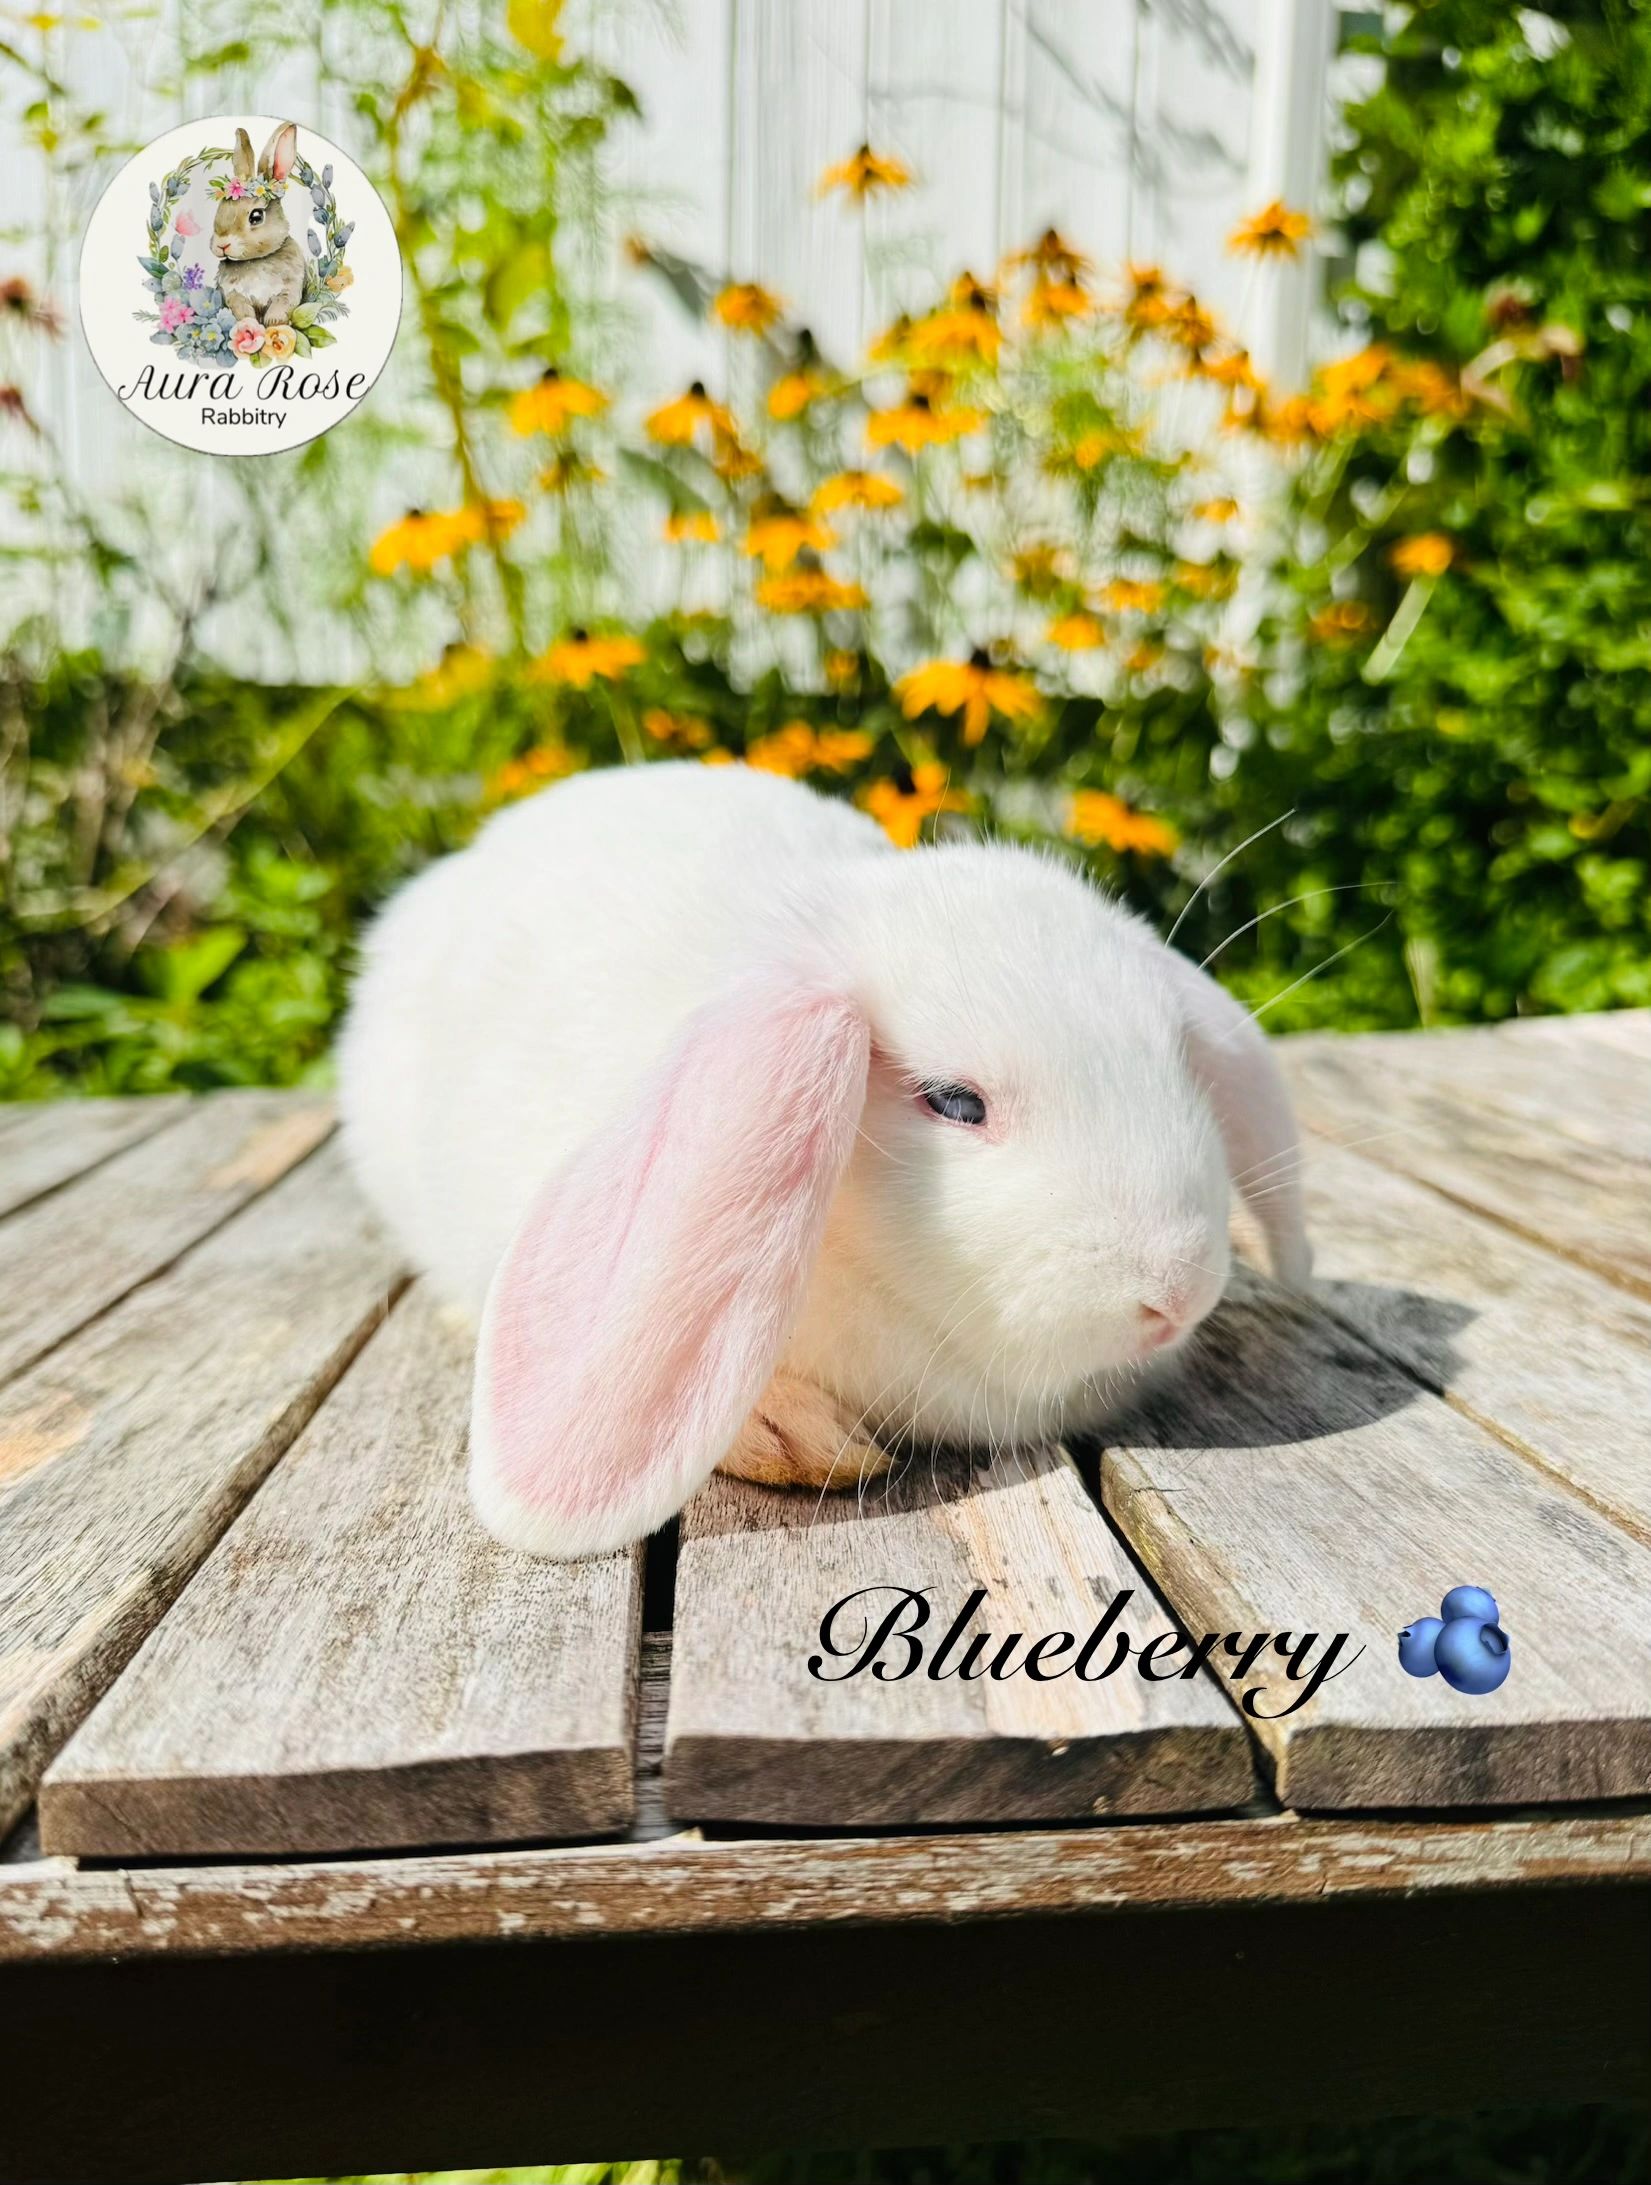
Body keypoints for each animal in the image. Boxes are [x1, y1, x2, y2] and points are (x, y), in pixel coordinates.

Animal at [211, 124, 306, 328]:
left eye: (256, 216)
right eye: (220, 209)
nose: (221, 245)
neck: (256, 260)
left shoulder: (289, 289)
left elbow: (281, 305)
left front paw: (274, 322)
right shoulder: (234, 295)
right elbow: (243, 311)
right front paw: (249, 324)